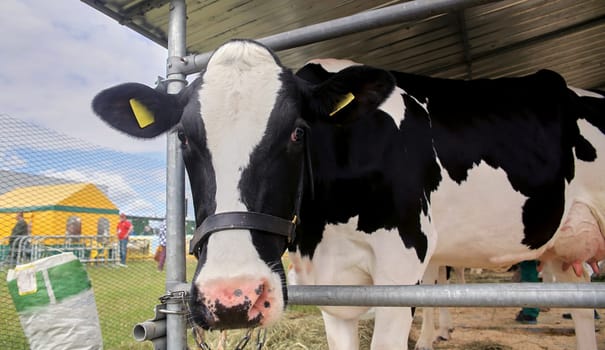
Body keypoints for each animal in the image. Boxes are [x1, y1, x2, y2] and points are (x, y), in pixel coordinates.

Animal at [92, 39, 604, 348]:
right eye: (183, 138)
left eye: (298, 132)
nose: (232, 298)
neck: (323, 232)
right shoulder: (331, 288)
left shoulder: (402, 267)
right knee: (580, 302)